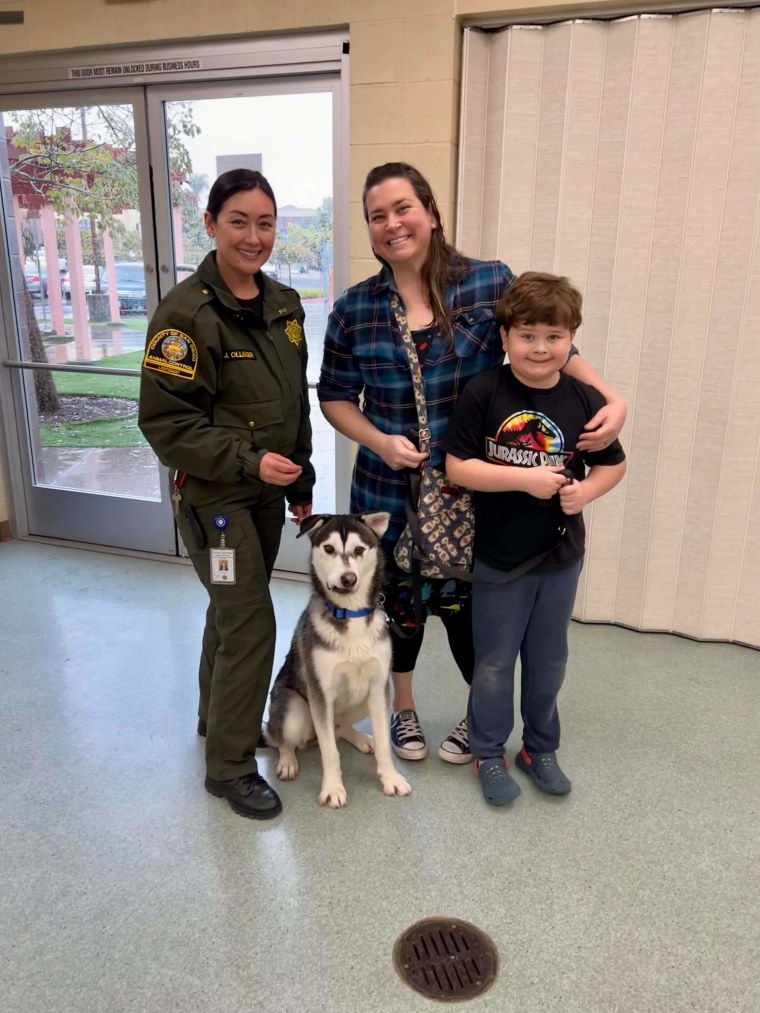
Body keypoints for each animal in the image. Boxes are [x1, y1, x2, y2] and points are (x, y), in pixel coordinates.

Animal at [265, 510, 413, 810]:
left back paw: (360, 739)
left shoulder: (379, 687)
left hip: (363, 700)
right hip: (295, 709)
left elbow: (383, 744)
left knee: (339, 726)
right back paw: (288, 762)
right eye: (329, 549)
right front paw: (333, 788)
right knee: (283, 739)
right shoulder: (321, 694)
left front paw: (390, 778)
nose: (348, 578)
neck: (351, 613)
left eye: (359, 550)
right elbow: (330, 752)